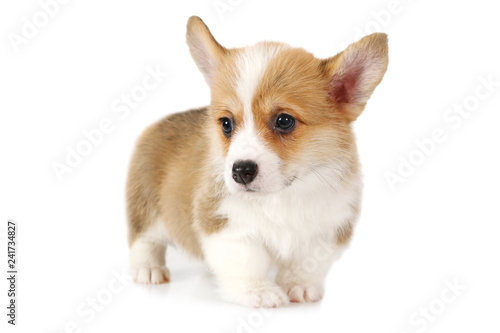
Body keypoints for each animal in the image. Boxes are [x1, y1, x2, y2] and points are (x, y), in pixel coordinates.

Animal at [127, 15, 388, 306]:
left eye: (284, 121)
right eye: (226, 124)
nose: (241, 171)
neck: (282, 195)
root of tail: (159, 122)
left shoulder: (328, 227)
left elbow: (307, 263)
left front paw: (299, 287)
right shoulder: (225, 224)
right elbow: (246, 261)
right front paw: (259, 292)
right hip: (146, 206)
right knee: (144, 239)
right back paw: (148, 269)